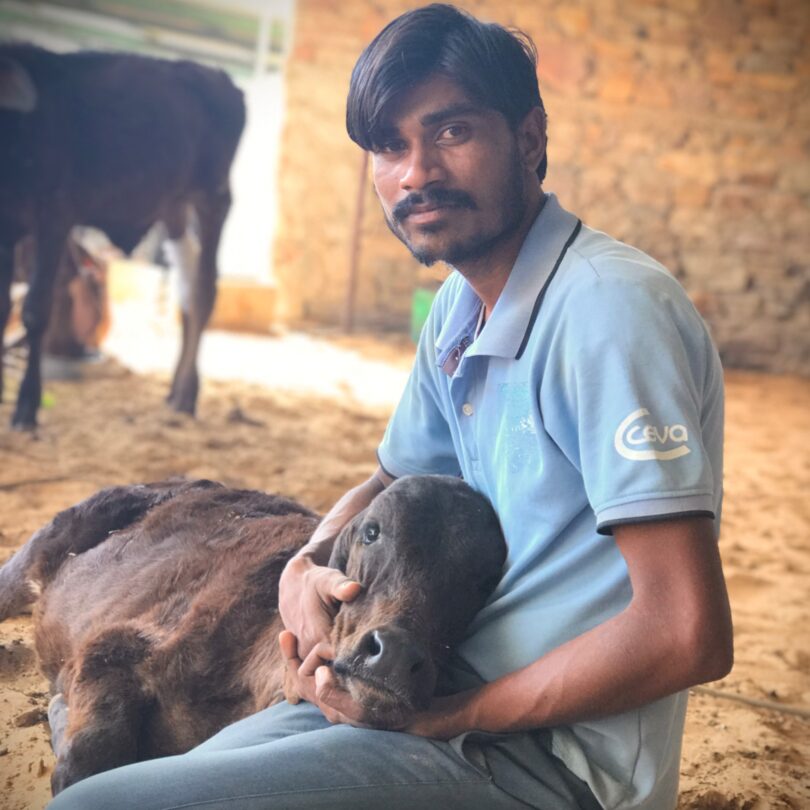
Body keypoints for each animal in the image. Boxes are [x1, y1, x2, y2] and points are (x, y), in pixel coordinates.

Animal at [0, 42, 243, 430]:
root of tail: (216, 77)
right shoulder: (6, 228)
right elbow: (2, 306)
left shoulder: (54, 215)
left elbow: (36, 310)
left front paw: (26, 408)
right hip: (174, 208)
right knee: (186, 290)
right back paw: (175, 392)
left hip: (213, 197)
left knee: (204, 291)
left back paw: (187, 397)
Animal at [0, 474, 504, 796]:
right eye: (372, 532)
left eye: (483, 578)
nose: (396, 653)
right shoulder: (116, 643)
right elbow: (82, 767)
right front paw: (59, 715)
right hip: (43, 545)